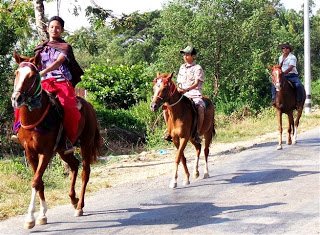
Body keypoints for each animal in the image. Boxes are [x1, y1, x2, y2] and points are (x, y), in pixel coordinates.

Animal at [11, 52, 101, 229]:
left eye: (32, 76)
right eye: (17, 73)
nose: (16, 98)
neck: (36, 118)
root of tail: (89, 106)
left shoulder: (46, 152)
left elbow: (35, 181)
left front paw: (30, 218)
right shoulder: (30, 153)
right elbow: (39, 182)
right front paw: (42, 215)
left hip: (86, 144)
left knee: (85, 172)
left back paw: (79, 207)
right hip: (62, 150)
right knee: (74, 165)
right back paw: (73, 199)